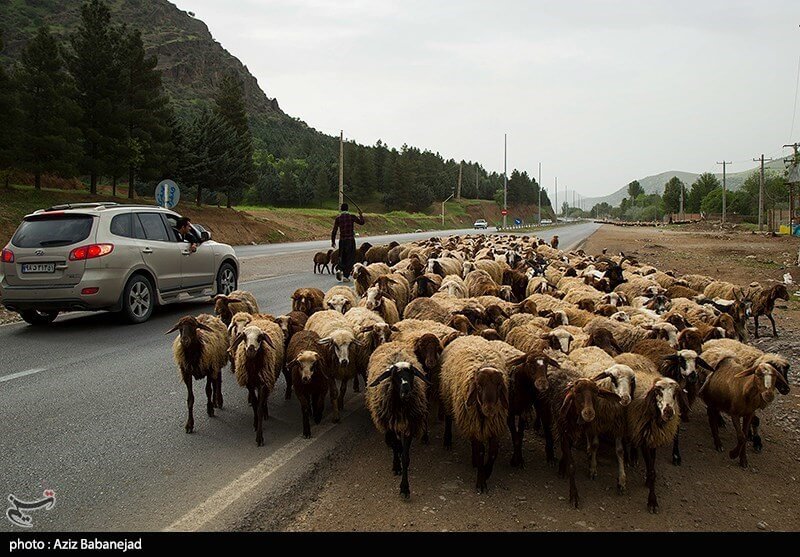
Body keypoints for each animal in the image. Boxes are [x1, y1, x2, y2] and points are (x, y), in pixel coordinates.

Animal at [368, 340, 432, 498]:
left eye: (411, 373)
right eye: (394, 374)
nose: (406, 389)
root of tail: (392, 342)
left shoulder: (408, 425)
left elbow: (404, 455)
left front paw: (404, 487)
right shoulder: (389, 425)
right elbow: (395, 445)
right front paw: (397, 465)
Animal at [438, 334, 506, 490]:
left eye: (499, 385)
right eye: (479, 386)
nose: (489, 408)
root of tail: (468, 335)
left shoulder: (494, 426)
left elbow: (493, 453)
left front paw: (487, 472)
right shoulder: (474, 423)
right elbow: (481, 452)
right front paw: (481, 481)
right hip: (448, 398)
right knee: (449, 419)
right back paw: (447, 440)